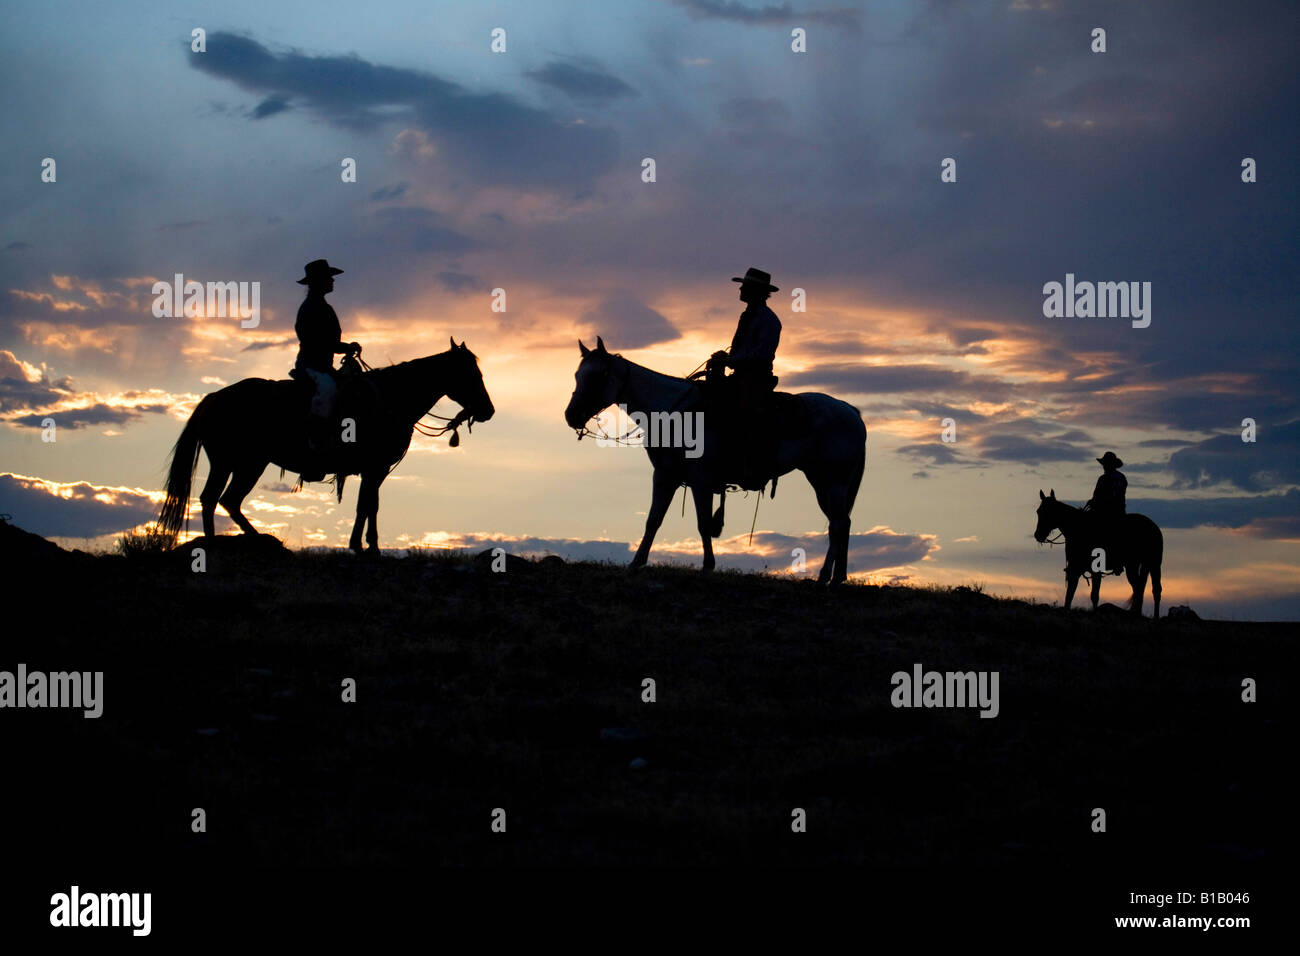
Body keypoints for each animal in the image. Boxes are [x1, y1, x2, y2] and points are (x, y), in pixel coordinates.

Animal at [157, 343, 491, 554]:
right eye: (473, 374)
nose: (489, 411)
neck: (389, 399)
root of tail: (212, 398)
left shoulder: (375, 470)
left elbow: (367, 505)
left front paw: (361, 545)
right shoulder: (375, 468)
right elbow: (368, 505)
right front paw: (369, 548)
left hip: (235, 464)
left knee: (218, 499)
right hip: (243, 464)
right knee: (220, 499)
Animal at [564, 340, 868, 587]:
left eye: (599, 375)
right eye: (578, 375)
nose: (571, 415)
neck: (676, 413)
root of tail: (852, 412)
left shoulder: (701, 479)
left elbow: (702, 523)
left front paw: (707, 567)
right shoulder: (665, 476)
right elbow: (653, 520)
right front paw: (636, 563)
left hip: (834, 481)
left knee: (838, 524)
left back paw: (824, 577)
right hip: (820, 481)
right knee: (842, 522)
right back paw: (836, 577)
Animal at [1034, 489, 1170, 616]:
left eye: (1048, 512)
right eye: (1038, 511)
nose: (1038, 535)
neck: (1078, 529)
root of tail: (1154, 526)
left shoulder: (1095, 571)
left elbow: (1094, 595)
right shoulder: (1075, 568)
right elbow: (1070, 594)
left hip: (1154, 564)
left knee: (1154, 590)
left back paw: (1153, 616)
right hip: (1136, 565)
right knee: (1139, 588)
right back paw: (1135, 613)